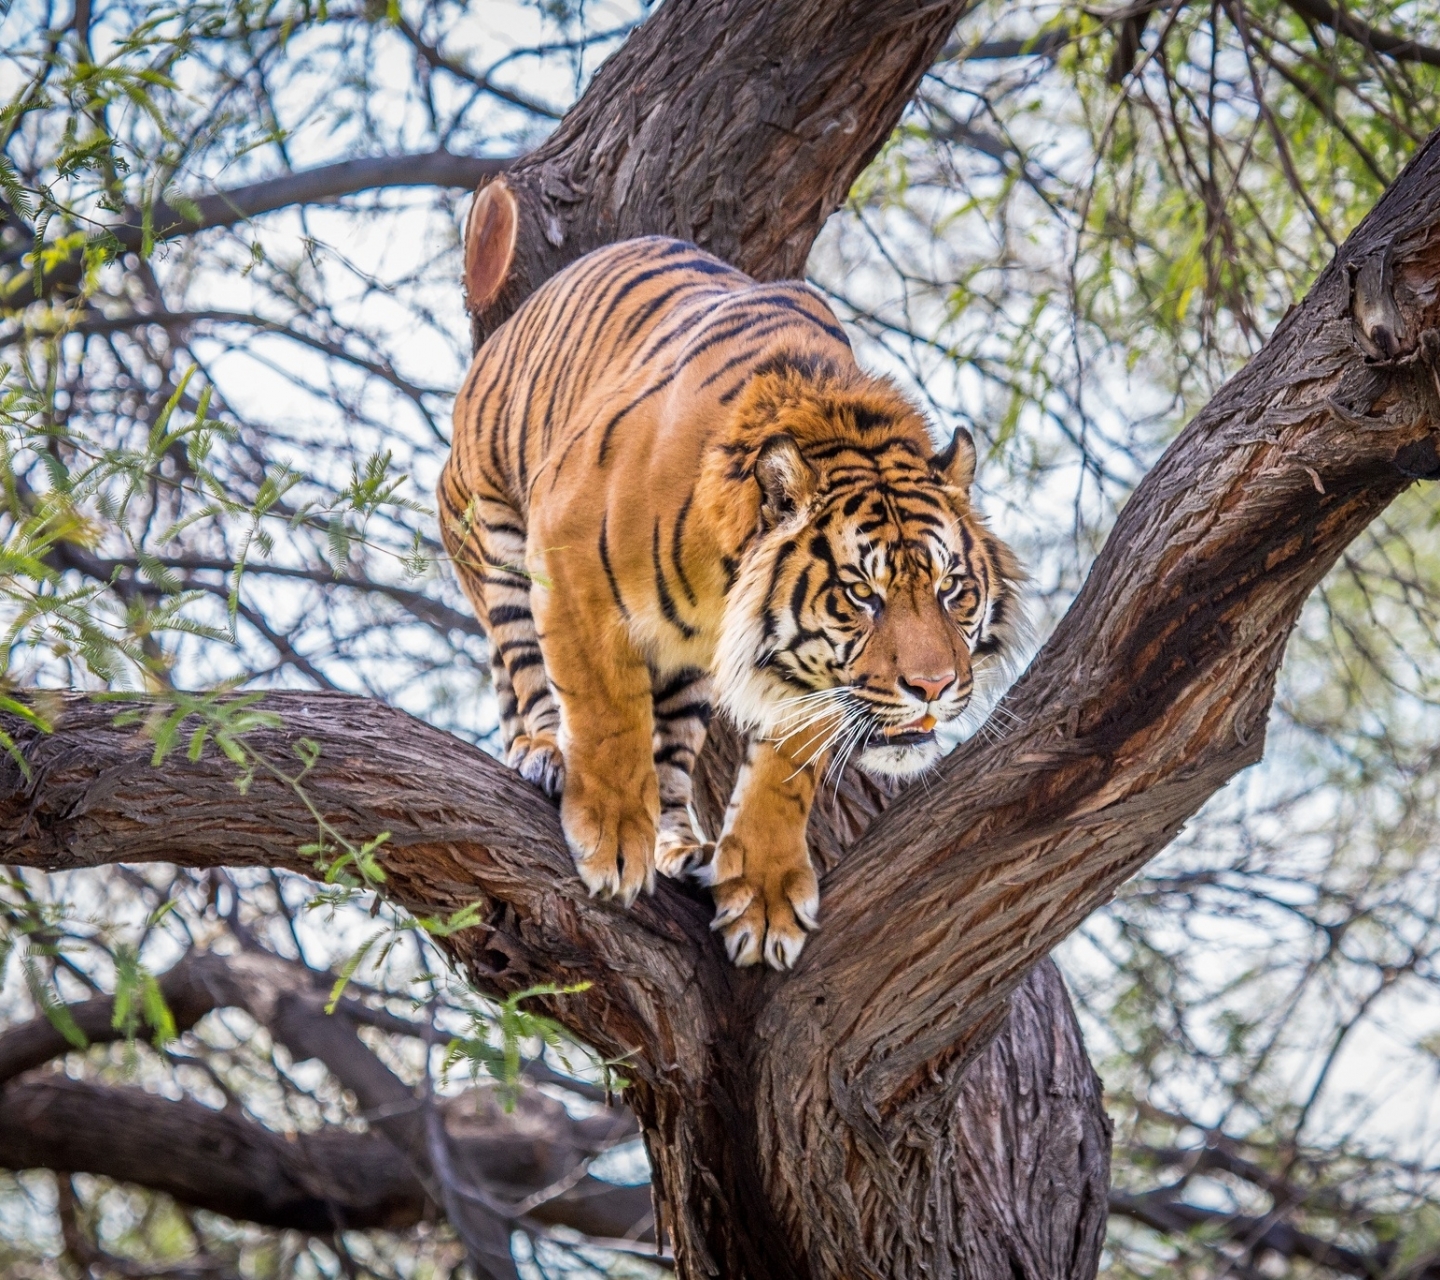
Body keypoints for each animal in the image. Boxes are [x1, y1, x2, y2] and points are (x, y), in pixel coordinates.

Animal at [437, 234, 1025, 961]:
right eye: (863, 594)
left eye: (951, 590)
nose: (934, 687)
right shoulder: (568, 556)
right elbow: (606, 711)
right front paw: (611, 838)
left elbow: (784, 773)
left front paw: (765, 899)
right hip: (493, 532)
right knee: (526, 671)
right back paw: (547, 755)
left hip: (688, 669)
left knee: (669, 758)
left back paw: (680, 846)